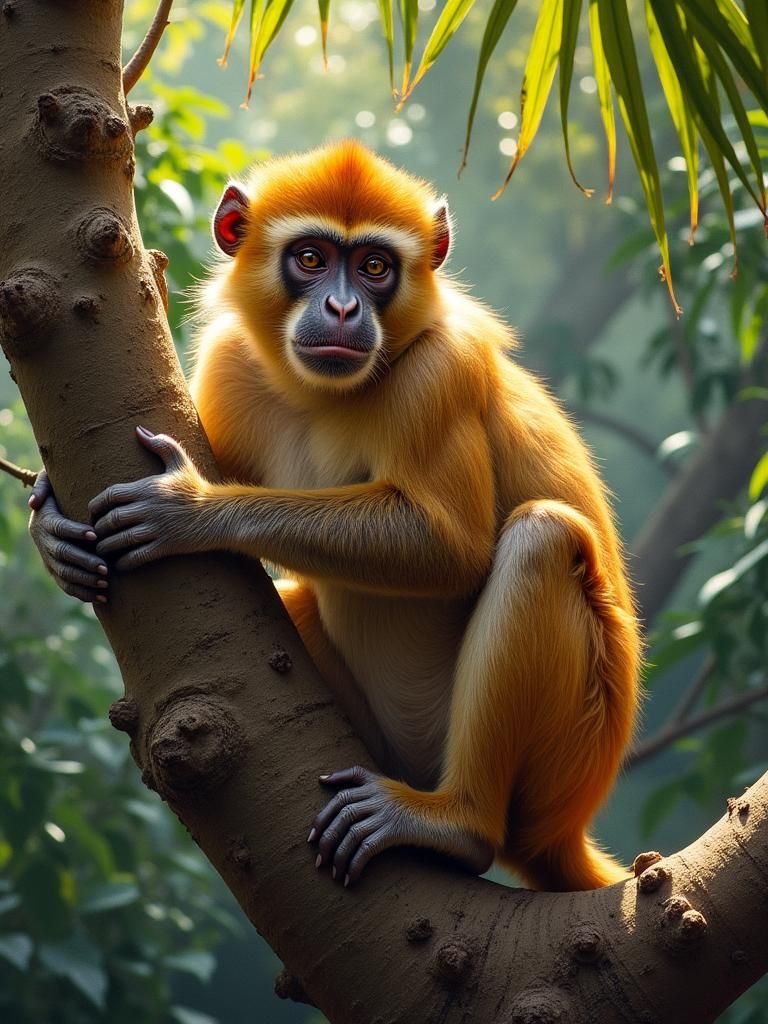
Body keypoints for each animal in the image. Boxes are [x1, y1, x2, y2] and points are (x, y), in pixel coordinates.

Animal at [29, 140, 641, 891]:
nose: (345, 307)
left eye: (375, 267)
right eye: (312, 258)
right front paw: (50, 528)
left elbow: (449, 545)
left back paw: (456, 825)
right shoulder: (233, 364)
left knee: (543, 539)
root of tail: (564, 833)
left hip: (568, 753)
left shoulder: (438, 372)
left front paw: (189, 510)